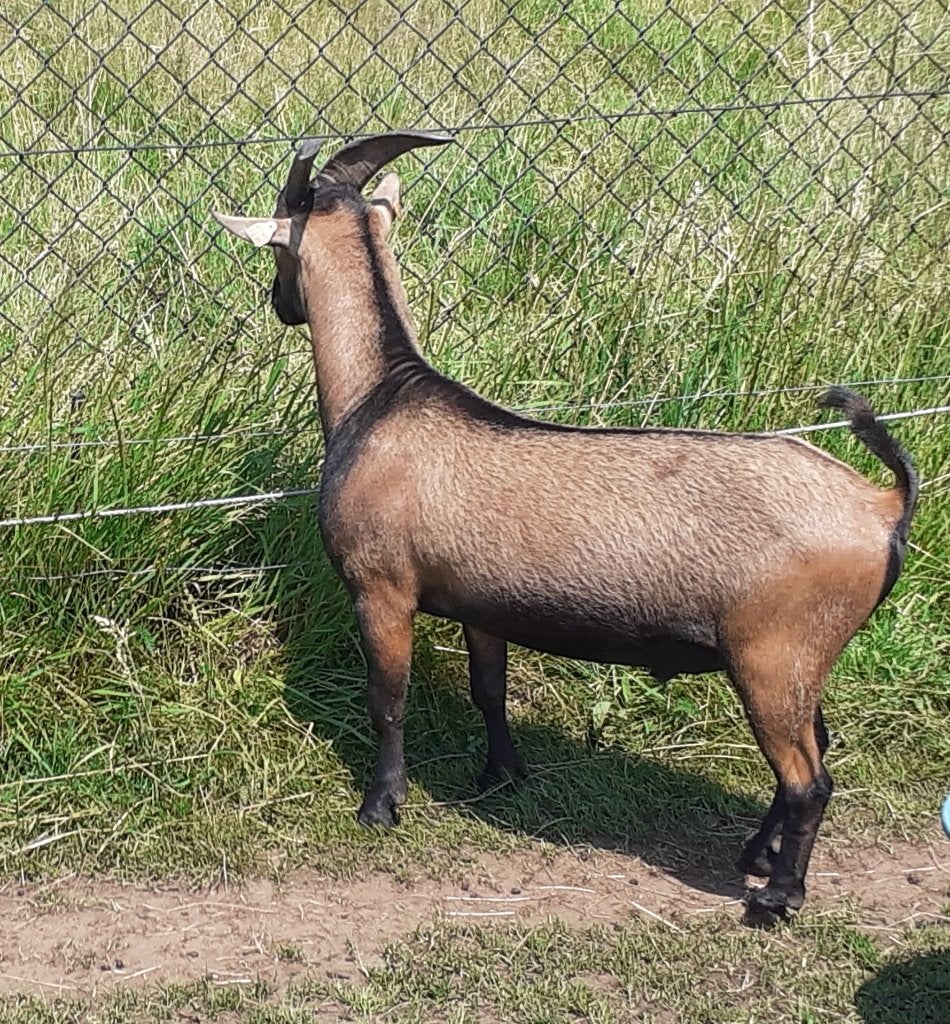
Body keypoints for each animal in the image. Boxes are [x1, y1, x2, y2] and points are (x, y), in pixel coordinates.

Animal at [214, 132, 918, 925]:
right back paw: (755, 855)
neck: (381, 400)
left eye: (279, 245)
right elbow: (489, 688)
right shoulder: (479, 603)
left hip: (775, 652)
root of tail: (883, 505)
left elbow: (387, 702)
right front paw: (502, 775)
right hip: (806, 656)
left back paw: (776, 896)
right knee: (816, 746)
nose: (280, 305)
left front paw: (380, 806)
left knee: (808, 778)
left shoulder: (381, 589)